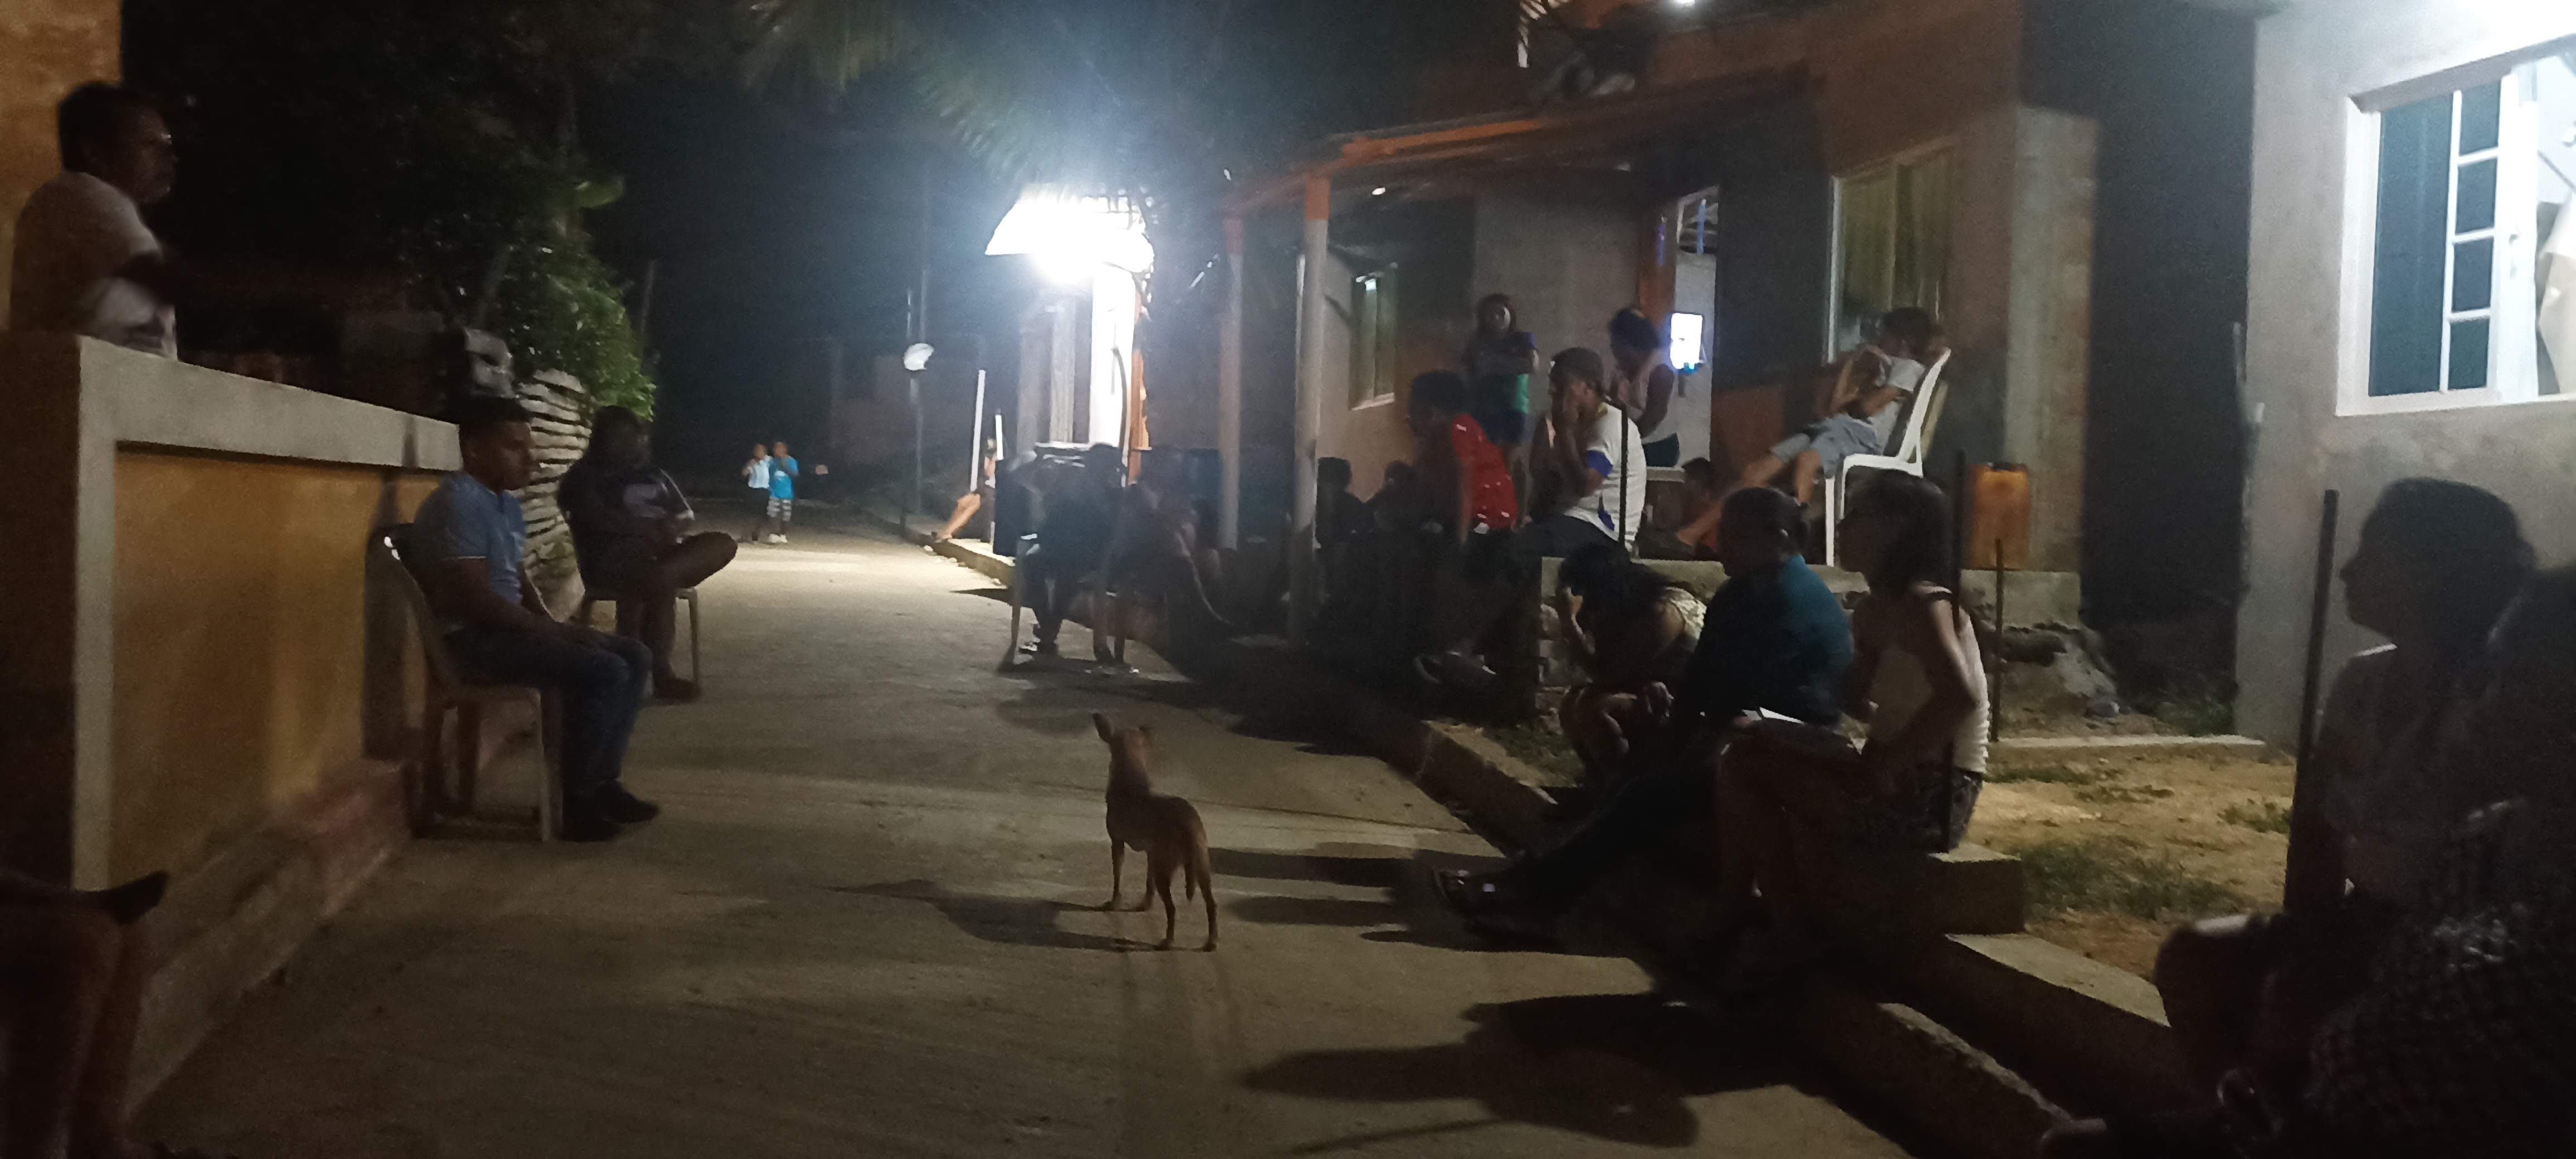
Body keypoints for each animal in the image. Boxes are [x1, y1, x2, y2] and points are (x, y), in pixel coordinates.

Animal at [1093, 713, 1216, 951]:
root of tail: (1188, 822)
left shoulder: (1117, 842)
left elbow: (1117, 877)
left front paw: (1113, 903)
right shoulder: (1152, 853)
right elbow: (1148, 885)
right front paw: (1145, 904)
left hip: (1166, 869)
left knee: (1172, 909)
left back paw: (1168, 941)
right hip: (1200, 864)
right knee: (1211, 903)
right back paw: (1211, 942)